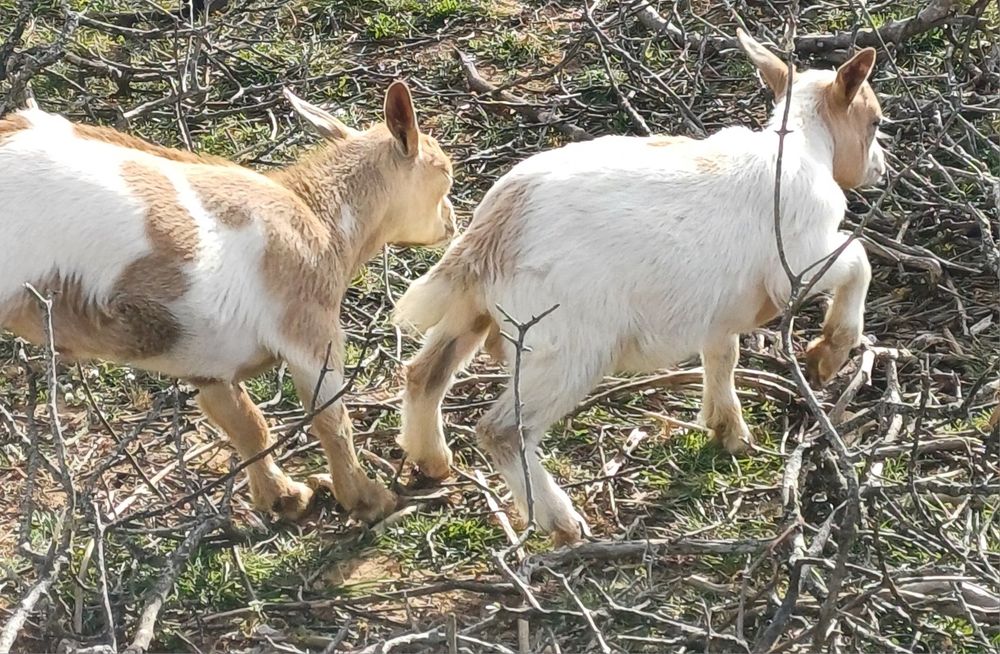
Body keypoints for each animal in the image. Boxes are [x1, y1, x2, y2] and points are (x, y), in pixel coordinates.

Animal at [0, 81, 455, 523]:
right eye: (444, 174)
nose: (451, 221)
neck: (318, 217)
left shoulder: (207, 368)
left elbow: (246, 425)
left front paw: (283, 498)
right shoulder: (308, 329)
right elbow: (330, 418)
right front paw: (367, 499)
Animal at [393, 31, 885, 545]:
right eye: (874, 122)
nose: (882, 169)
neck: (803, 148)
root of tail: (494, 228)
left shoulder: (716, 309)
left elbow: (723, 355)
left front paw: (728, 431)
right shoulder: (799, 263)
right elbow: (858, 260)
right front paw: (829, 352)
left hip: (471, 312)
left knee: (423, 375)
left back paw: (432, 461)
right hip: (566, 348)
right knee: (502, 429)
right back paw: (562, 523)